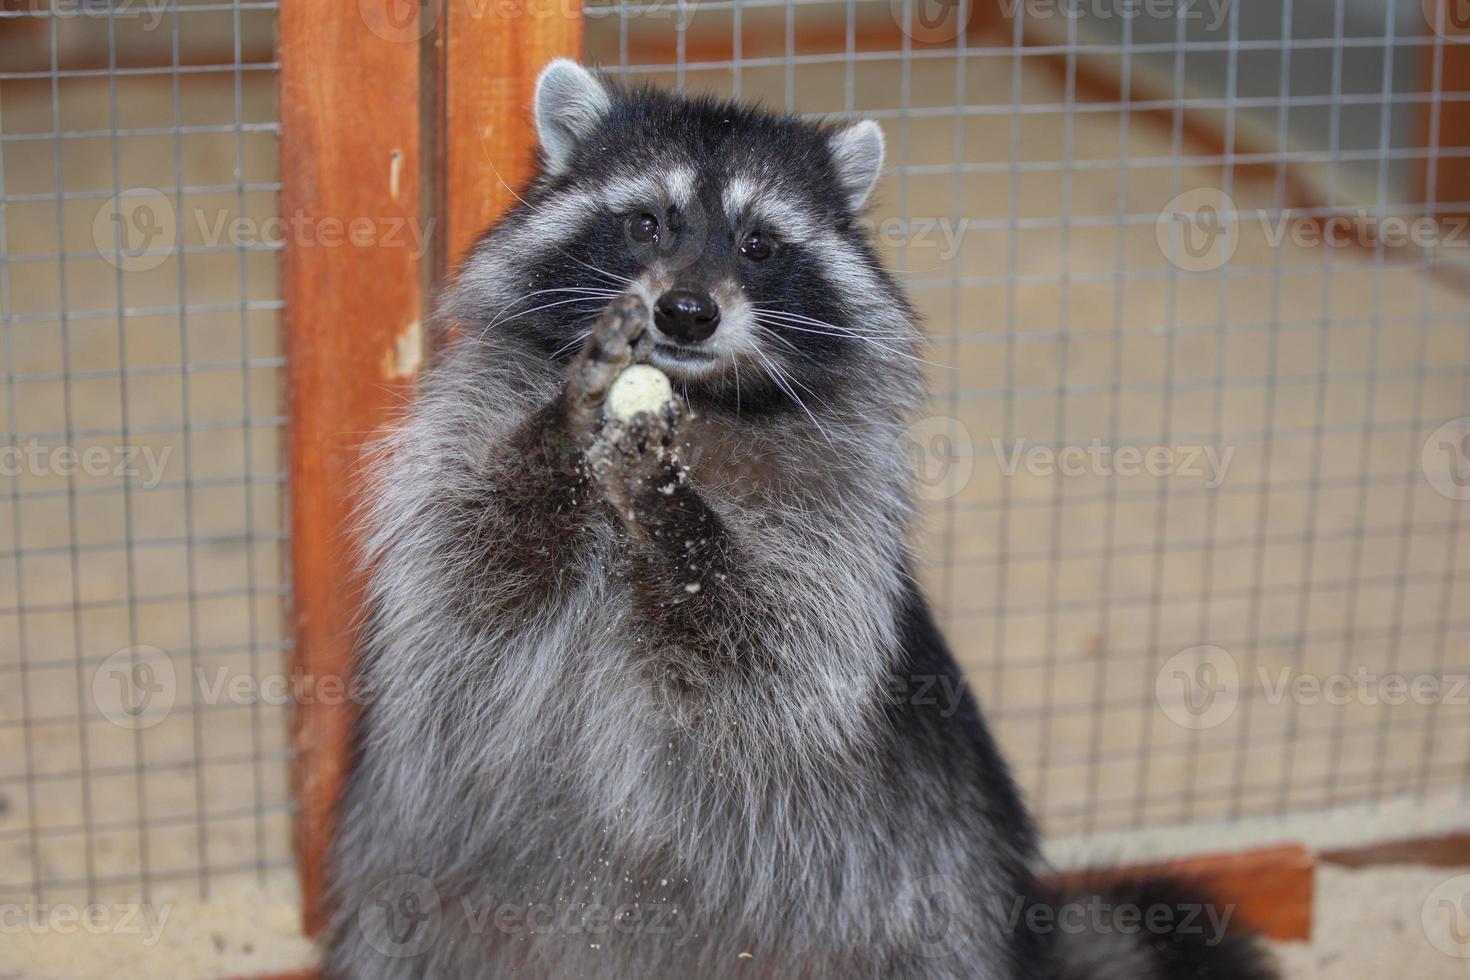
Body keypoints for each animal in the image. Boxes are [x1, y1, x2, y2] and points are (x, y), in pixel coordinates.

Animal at [321, 63, 1275, 980]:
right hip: (413, 896)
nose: (686, 312)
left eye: (759, 244)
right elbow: (475, 564)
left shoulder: (835, 519)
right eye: (646, 223)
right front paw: (562, 430)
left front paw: (679, 520)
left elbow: (763, 650)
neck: (699, 403)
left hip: (925, 908)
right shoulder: (465, 431)